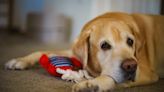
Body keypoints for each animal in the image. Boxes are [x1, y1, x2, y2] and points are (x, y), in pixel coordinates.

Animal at [4, 12, 164, 91]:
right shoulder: (74, 52)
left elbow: (111, 77)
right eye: (105, 45)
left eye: (130, 41)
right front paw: (20, 60)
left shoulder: (147, 72)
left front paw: (92, 84)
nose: (131, 66)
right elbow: (41, 51)